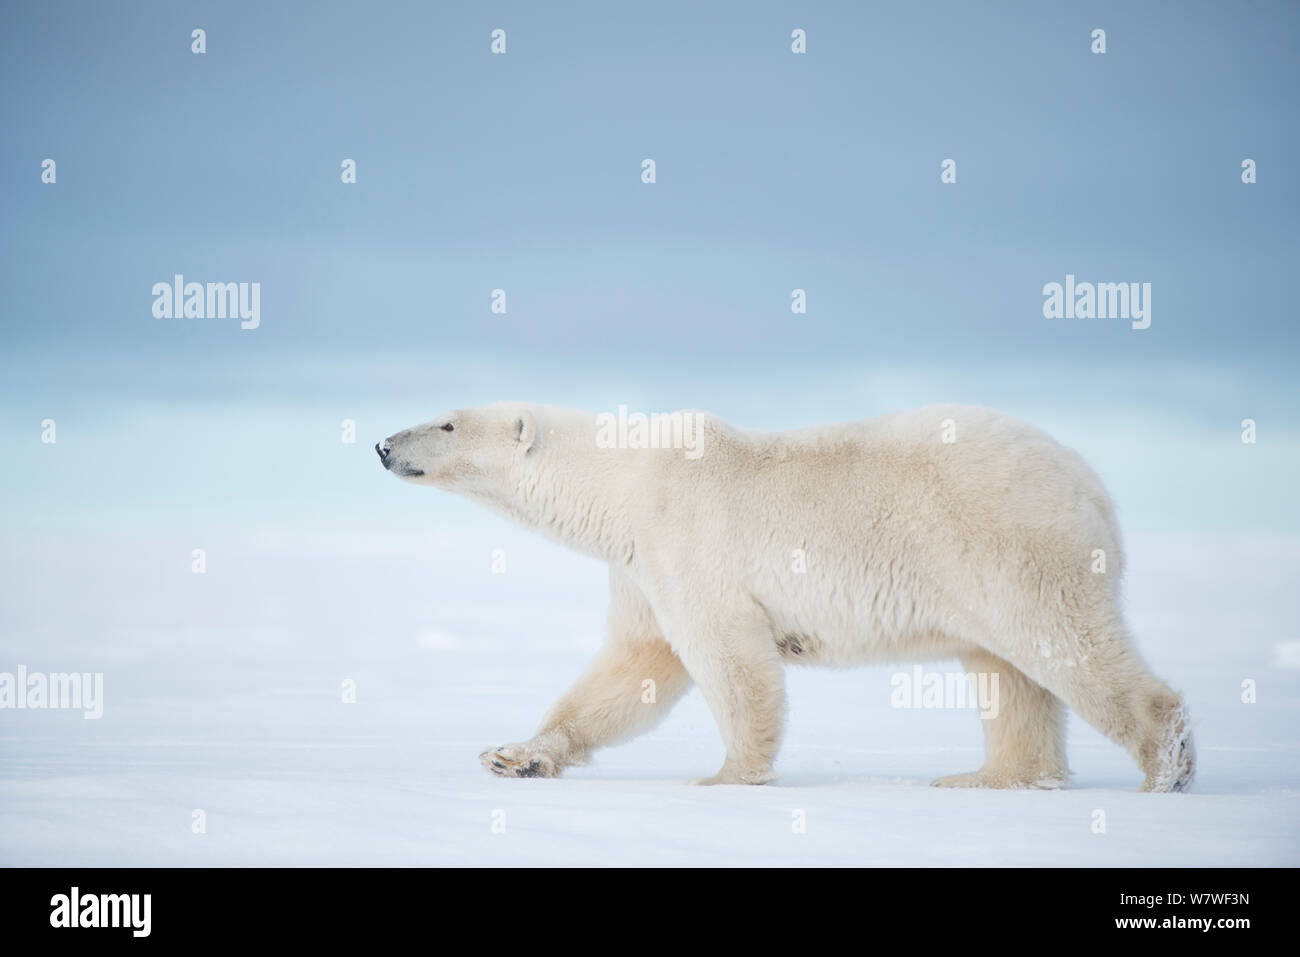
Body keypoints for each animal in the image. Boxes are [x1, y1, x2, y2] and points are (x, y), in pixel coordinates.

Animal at [377, 403, 1196, 790]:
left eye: (447, 420)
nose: (383, 444)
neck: (625, 479)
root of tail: (1092, 485)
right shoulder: (639, 563)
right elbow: (632, 667)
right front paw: (513, 755)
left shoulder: (688, 535)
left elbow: (729, 658)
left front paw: (724, 774)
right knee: (1007, 673)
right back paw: (988, 776)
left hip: (1009, 540)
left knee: (1062, 644)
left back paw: (1167, 764)